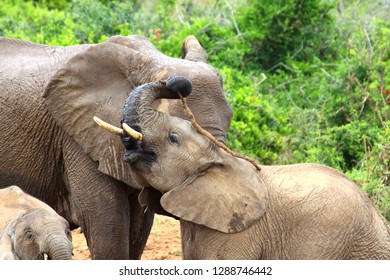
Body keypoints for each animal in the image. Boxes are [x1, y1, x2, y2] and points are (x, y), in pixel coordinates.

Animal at [0, 35, 232, 260]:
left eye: (230, 116)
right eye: (174, 137)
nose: (177, 84)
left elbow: (138, 229)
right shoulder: (78, 139)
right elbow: (107, 225)